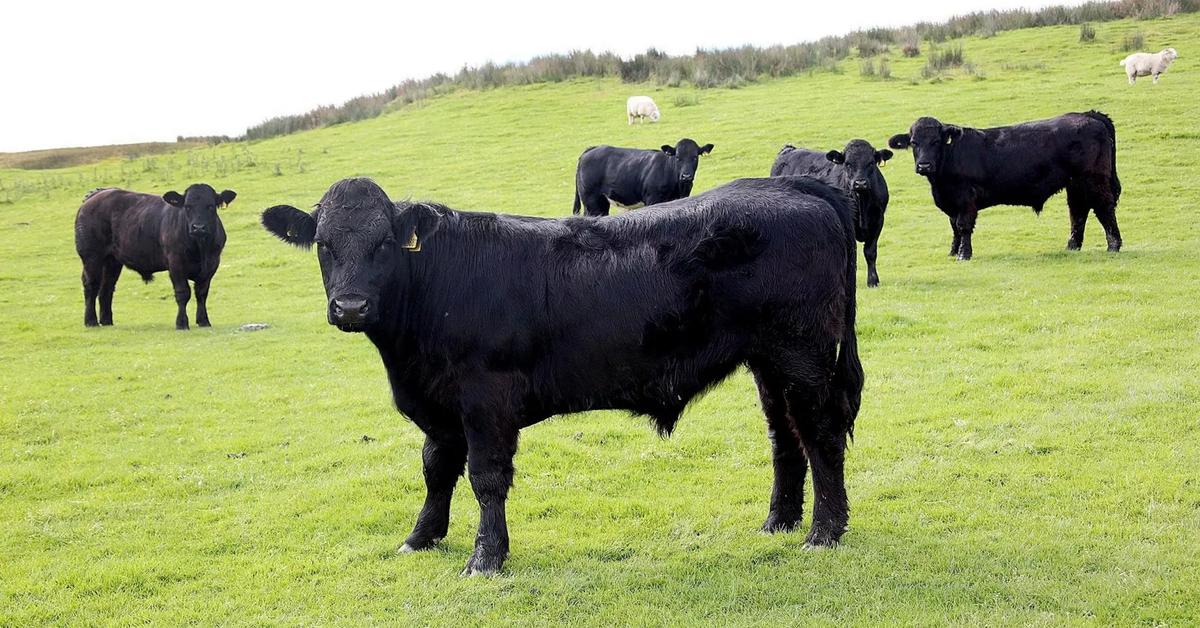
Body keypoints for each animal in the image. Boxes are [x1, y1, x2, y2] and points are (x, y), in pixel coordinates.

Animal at [75, 184, 236, 329]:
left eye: (210, 206)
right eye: (187, 206)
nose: (198, 227)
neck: (200, 248)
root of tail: (96, 194)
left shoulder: (211, 265)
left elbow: (201, 293)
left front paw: (204, 321)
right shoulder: (176, 264)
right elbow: (183, 293)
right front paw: (181, 323)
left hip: (112, 261)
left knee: (106, 288)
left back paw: (106, 321)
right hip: (91, 257)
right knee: (91, 285)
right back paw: (91, 321)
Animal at [262, 175, 864, 573]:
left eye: (384, 243)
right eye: (323, 245)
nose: (351, 306)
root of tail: (791, 187)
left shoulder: (485, 401)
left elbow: (485, 478)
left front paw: (486, 558)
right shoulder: (440, 406)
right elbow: (436, 469)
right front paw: (421, 537)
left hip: (804, 352)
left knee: (821, 432)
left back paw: (824, 532)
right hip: (769, 360)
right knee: (784, 435)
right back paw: (779, 522)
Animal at [571, 137, 710, 216]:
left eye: (695, 157)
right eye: (678, 157)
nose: (686, 176)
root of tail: (591, 149)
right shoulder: (653, 199)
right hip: (592, 202)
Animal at [772, 139, 897, 286]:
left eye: (871, 162)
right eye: (847, 163)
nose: (860, 183)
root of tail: (790, 149)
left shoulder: (878, 220)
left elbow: (870, 252)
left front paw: (873, 281)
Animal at [888, 111, 1118, 259]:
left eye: (936, 141)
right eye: (914, 143)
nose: (924, 165)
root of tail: (1089, 115)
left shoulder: (966, 199)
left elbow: (963, 226)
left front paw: (964, 254)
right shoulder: (952, 201)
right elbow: (954, 226)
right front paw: (953, 252)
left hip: (1093, 180)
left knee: (1103, 207)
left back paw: (1114, 245)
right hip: (1075, 183)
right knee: (1078, 210)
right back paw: (1072, 246)